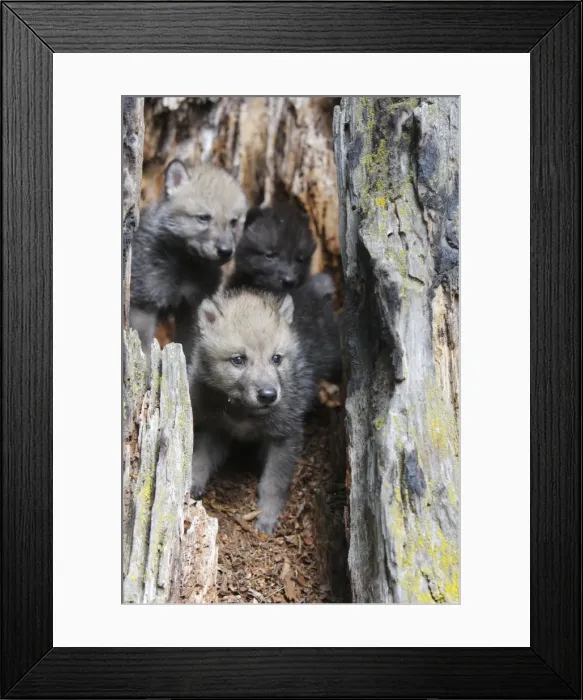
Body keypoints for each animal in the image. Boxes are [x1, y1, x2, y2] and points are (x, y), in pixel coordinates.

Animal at [129, 159, 247, 361]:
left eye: (233, 221)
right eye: (203, 218)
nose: (226, 251)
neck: (185, 266)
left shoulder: (192, 309)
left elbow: (189, 349)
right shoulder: (144, 307)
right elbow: (145, 351)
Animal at [188, 289, 319, 534]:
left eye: (276, 358)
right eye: (238, 360)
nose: (268, 395)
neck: (244, 413)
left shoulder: (284, 438)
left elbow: (273, 483)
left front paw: (267, 517)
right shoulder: (211, 426)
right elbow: (199, 459)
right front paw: (190, 484)